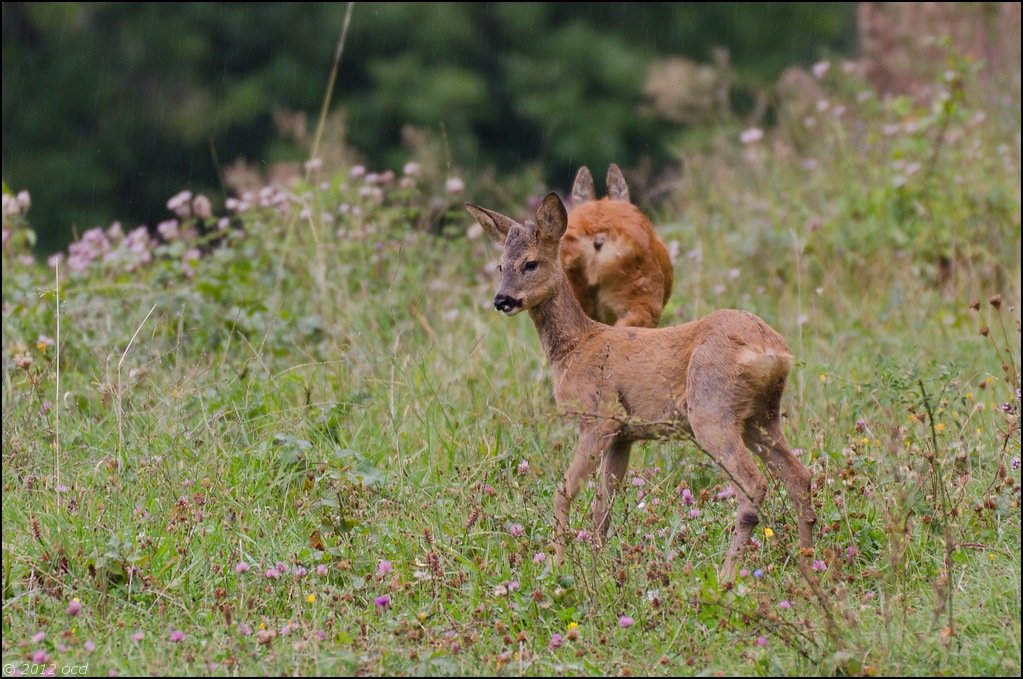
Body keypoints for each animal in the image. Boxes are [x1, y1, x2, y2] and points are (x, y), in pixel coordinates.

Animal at [468, 192, 818, 584]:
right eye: (500, 266)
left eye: (531, 263)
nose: (502, 300)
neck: (575, 346)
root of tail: (773, 351)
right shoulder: (624, 435)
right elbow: (603, 506)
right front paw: (599, 568)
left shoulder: (600, 417)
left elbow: (563, 492)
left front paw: (557, 565)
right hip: (761, 417)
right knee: (799, 477)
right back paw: (809, 567)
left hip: (712, 410)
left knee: (753, 486)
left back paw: (728, 574)